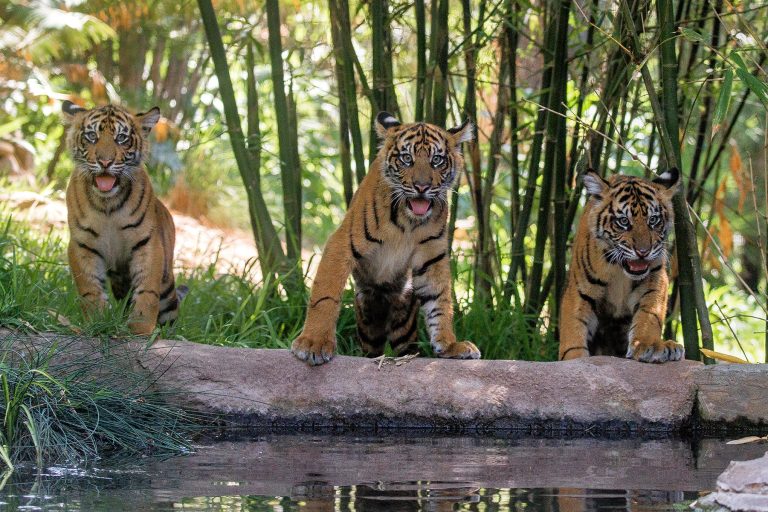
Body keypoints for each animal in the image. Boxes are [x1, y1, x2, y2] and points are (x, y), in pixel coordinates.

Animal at [62, 101, 184, 335]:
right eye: (91, 136)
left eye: (121, 138)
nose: (105, 162)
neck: (107, 205)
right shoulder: (82, 244)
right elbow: (90, 288)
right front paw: (98, 321)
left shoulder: (148, 244)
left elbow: (147, 290)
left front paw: (141, 328)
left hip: (167, 284)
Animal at [291, 112, 481, 365]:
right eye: (407, 159)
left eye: (437, 160)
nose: (422, 187)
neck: (409, 223)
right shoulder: (341, 244)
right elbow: (325, 296)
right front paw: (314, 343)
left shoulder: (432, 257)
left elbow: (440, 300)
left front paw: (451, 345)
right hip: (367, 314)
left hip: (404, 314)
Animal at [558, 168, 685, 363]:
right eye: (624, 221)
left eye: (653, 220)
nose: (643, 251)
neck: (620, 270)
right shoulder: (579, 289)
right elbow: (574, 329)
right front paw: (575, 358)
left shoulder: (655, 279)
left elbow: (649, 314)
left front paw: (648, 345)